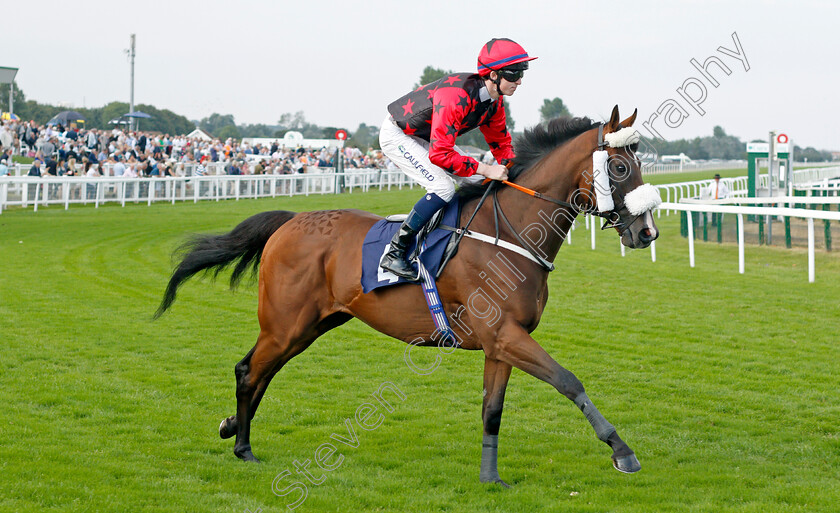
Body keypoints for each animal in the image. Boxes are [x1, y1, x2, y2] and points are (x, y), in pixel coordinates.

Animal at [156, 105, 656, 484]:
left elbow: (492, 411)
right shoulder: (505, 334)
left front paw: (490, 478)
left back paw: (232, 428)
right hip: (285, 322)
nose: (646, 232)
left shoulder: (500, 344)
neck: (510, 232)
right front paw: (623, 452)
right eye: (619, 166)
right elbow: (569, 380)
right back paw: (243, 446)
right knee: (249, 371)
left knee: (262, 371)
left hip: (311, 324)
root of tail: (291, 220)